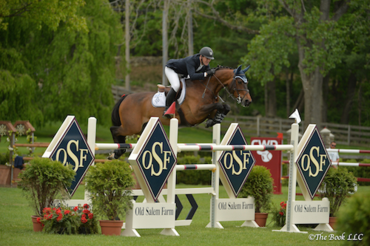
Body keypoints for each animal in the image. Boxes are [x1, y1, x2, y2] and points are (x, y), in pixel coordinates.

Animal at [110, 64, 253, 159]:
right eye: (239, 81)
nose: (248, 101)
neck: (206, 88)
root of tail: (125, 97)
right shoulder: (196, 113)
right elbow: (219, 105)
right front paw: (214, 120)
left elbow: (224, 107)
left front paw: (214, 120)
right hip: (131, 126)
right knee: (114, 129)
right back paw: (116, 152)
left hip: (139, 128)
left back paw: (118, 152)